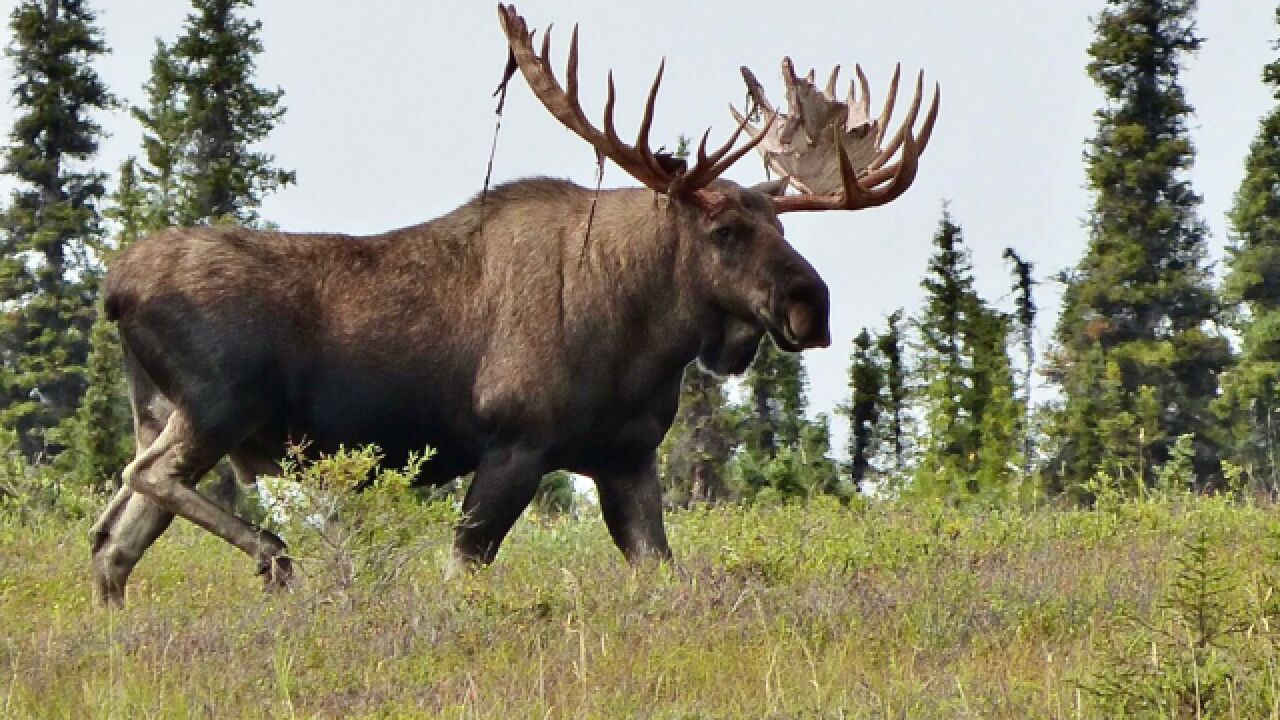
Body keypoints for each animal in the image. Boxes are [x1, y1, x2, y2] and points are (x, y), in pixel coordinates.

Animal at [87, 4, 931, 604]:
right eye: (724, 230)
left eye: (783, 225)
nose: (811, 305)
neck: (642, 341)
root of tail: (113, 289)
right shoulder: (515, 445)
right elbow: (463, 570)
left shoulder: (626, 458)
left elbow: (662, 571)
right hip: (217, 406)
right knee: (139, 482)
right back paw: (273, 553)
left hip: (165, 410)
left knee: (111, 541)